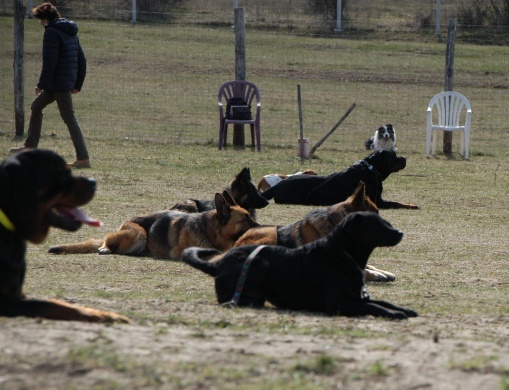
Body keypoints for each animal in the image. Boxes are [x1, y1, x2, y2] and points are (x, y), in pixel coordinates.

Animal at [260, 150, 418, 210]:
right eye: (393, 155)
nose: (404, 158)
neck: (371, 168)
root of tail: (279, 184)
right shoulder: (377, 201)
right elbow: (396, 203)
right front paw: (411, 205)